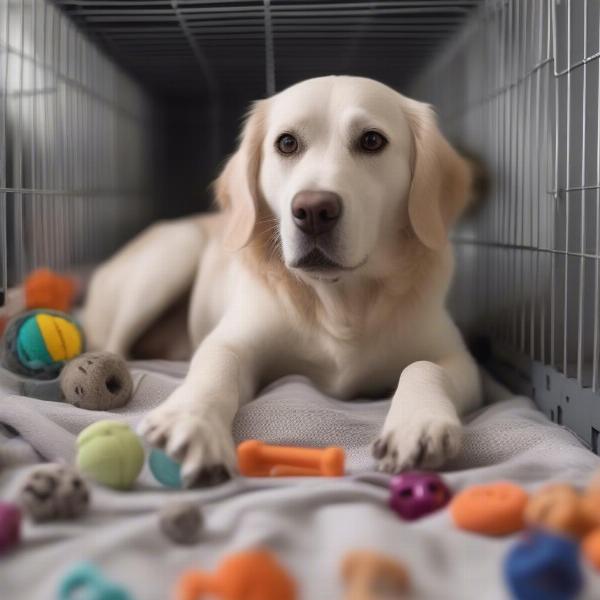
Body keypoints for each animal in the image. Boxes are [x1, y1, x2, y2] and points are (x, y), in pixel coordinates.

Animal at [83, 76, 482, 488]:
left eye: (372, 140)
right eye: (287, 143)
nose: (314, 210)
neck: (340, 300)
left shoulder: (461, 360)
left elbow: (424, 367)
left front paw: (419, 424)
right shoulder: (233, 342)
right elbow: (215, 369)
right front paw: (192, 422)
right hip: (177, 248)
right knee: (112, 343)